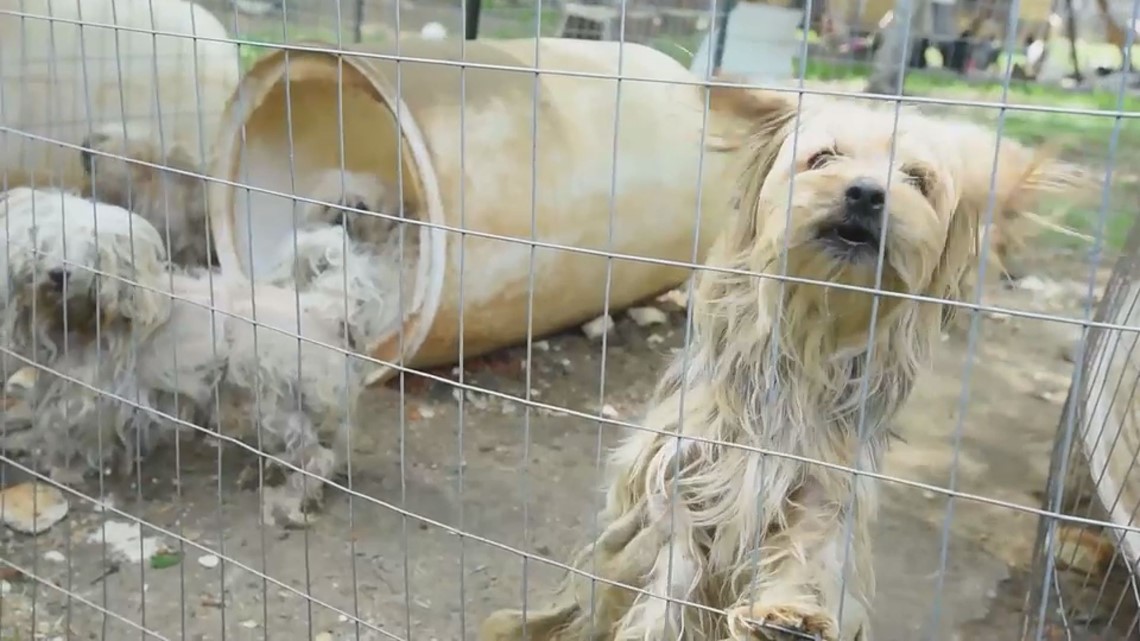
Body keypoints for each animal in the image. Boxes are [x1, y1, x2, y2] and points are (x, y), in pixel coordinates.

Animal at [476, 84, 1080, 638]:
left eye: (917, 180)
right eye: (822, 158)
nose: (866, 194)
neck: (810, 334)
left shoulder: (820, 486)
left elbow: (806, 551)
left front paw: (788, 612)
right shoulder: (681, 478)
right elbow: (670, 573)